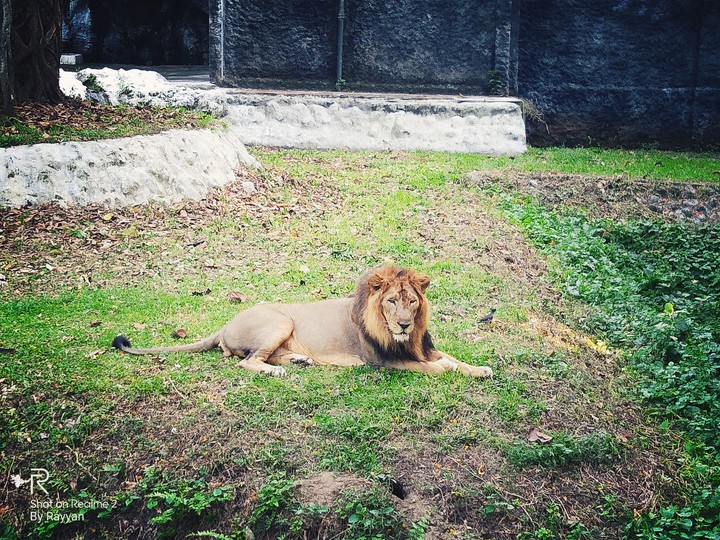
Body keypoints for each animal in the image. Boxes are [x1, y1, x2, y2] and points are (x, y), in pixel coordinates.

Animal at [112, 266, 493, 378]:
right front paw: (451, 369)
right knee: (249, 361)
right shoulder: (385, 361)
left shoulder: (420, 347)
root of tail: (224, 325)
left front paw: (480, 369)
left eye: (412, 302)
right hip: (280, 321)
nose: (403, 325)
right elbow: (437, 367)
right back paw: (276, 371)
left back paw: (299, 360)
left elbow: (452, 358)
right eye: (391, 302)